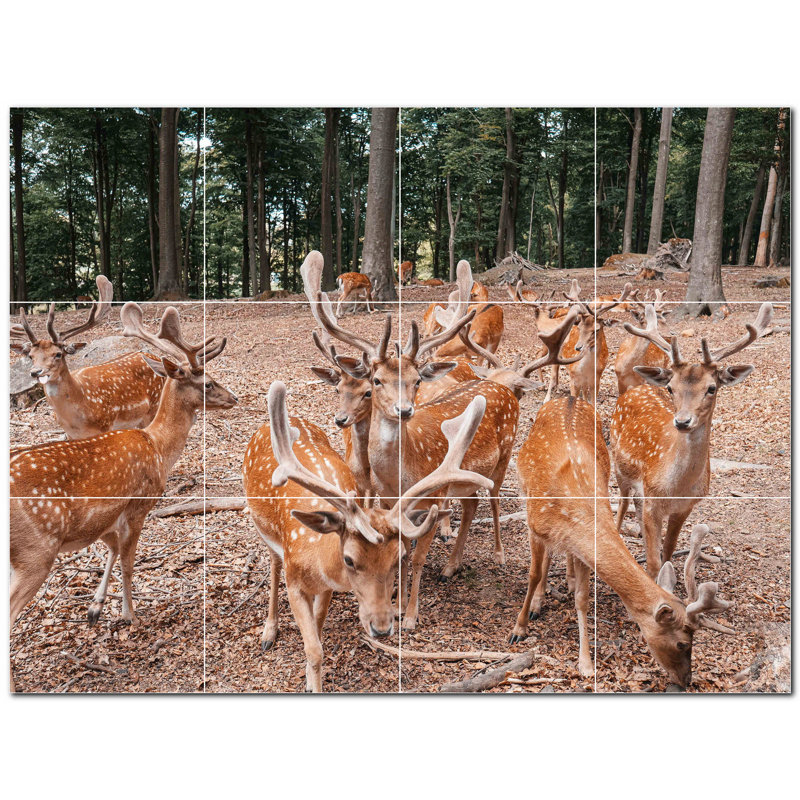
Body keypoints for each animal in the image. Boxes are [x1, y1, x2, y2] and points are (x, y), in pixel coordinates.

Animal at [9, 275, 164, 439]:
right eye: (30, 356)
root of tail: (155, 357)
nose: (35, 372)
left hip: (153, 407)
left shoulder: (105, 425)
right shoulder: (70, 435)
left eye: (58, 354)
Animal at [9, 304, 236, 687]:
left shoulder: (103, 519)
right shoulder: (137, 505)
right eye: (207, 382)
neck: (158, 448)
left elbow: (113, 552)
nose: (234, 398)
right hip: (35, 550)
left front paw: (96, 608)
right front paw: (130, 615)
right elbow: (129, 563)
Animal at [243, 381, 491, 691]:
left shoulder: (326, 589)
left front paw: (311, 680)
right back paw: (269, 631)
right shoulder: (295, 582)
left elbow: (318, 632)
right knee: (273, 564)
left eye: (399, 557)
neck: (316, 558)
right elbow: (314, 649)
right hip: (262, 529)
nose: (382, 628)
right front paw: (311, 683)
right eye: (349, 559)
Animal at [511, 394, 733, 686]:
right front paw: (519, 628)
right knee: (545, 561)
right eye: (682, 643)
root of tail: (569, 397)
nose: (687, 680)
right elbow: (533, 574)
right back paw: (537, 603)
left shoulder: (581, 545)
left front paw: (585, 663)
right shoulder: (534, 528)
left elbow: (582, 598)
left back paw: (567, 580)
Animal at [610, 302, 773, 577]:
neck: (675, 488)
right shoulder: (653, 502)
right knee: (622, 502)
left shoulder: (686, 506)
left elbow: (668, 551)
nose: (682, 422)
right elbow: (653, 563)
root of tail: (635, 388)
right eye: (670, 388)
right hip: (619, 466)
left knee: (635, 505)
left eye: (712, 388)